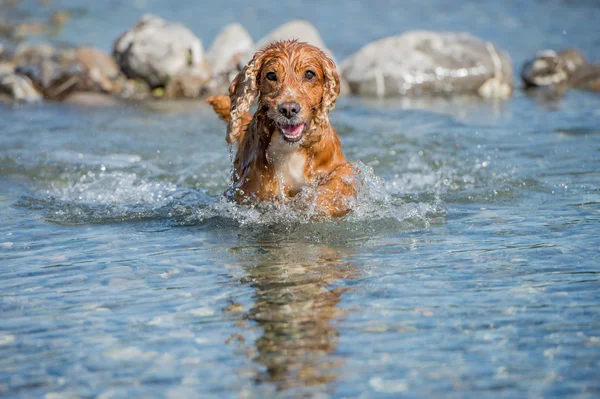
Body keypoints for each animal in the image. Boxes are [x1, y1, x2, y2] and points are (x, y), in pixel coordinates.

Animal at [206, 40, 356, 217]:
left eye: (309, 74)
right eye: (271, 75)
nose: (289, 109)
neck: (290, 149)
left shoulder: (341, 168)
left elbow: (337, 182)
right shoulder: (250, 187)